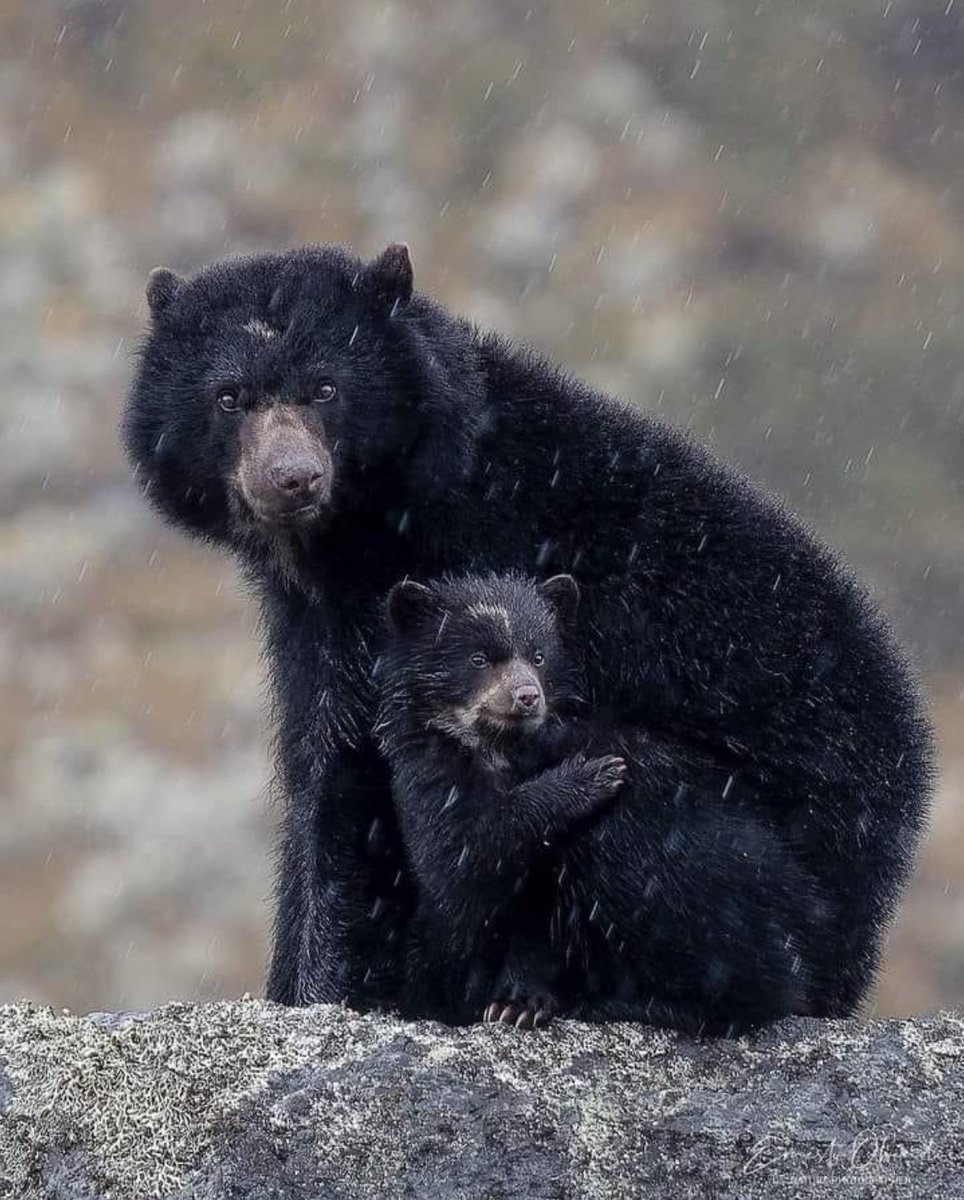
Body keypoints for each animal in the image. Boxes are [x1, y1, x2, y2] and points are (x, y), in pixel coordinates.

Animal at [379, 571, 835, 1034]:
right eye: (478, 659)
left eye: (538, 656)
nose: (527, 696)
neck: (501, 750)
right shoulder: (427, 774)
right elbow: (464, 855)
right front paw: (589, 777)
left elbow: (540, 921)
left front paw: (519, 1004)